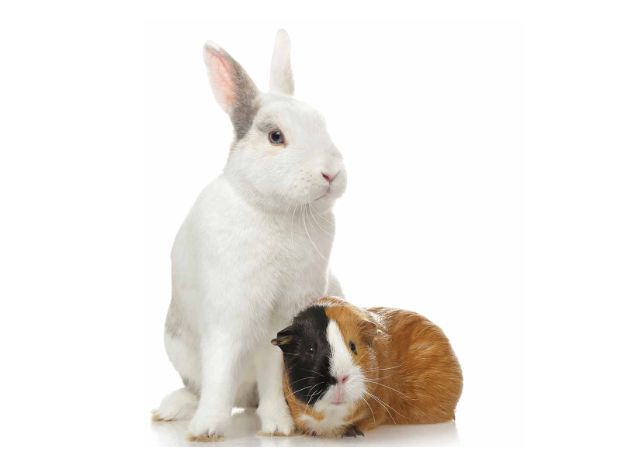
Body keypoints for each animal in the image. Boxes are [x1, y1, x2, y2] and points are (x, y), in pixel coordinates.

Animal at [149, 29, 344, 438]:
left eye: (322, 124)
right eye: (275, 136)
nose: (331, 173)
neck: (279, 213)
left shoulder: (282, 318)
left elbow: (273, 371)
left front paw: (278, 426)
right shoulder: (229, 312)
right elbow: (220, 368)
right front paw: (206, 429)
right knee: (201, 385)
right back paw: (175, 409)